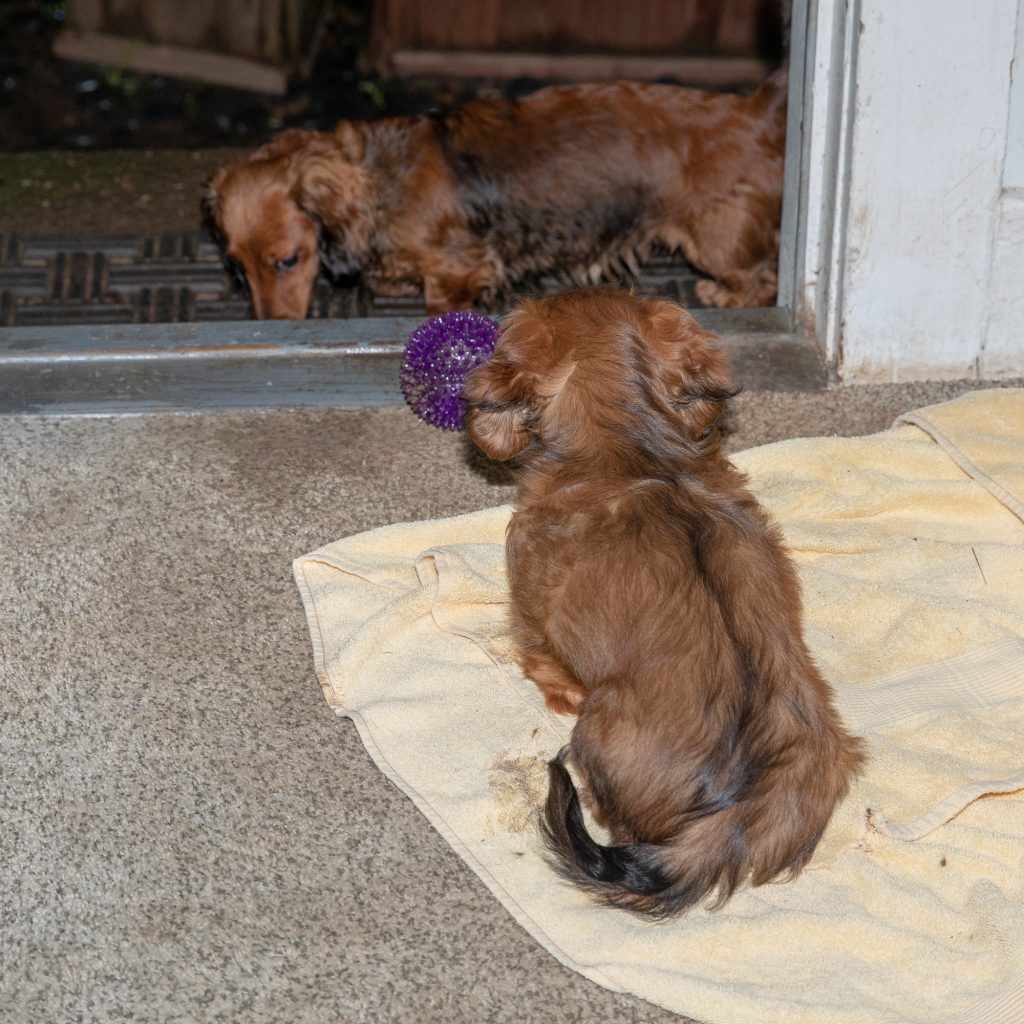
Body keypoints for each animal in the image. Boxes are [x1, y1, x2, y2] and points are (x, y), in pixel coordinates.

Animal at [464, 290, 864, 921]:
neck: (629, 444)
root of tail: (739, 807)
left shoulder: (532, 607)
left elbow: (541, 657)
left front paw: (554, 691)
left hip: (597, 733)